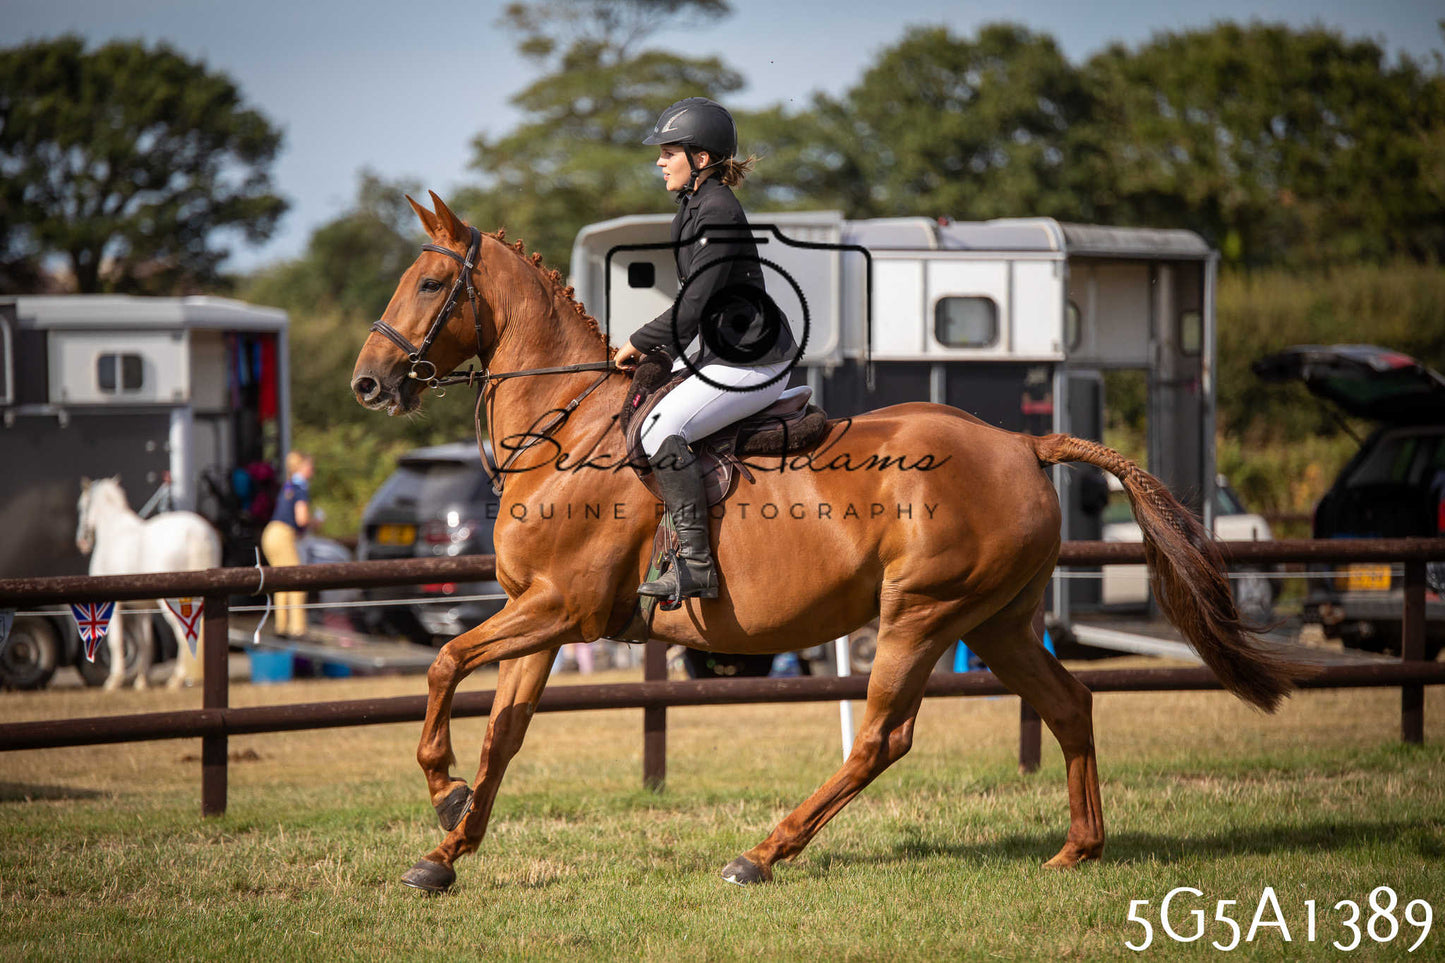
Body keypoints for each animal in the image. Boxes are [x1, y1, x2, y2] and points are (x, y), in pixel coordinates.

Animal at [75, 477, 222, 690]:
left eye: (81, 507)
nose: (82, 542)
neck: (113, 531)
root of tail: (196, 534)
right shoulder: (142, 607)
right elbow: (146, 641)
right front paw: (142, 681)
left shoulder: (113, 605)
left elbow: (116, 641)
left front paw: (114, 681)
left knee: (183, 633)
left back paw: (177, 679)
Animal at [350, 192, 1303, 892]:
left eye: (430, 285)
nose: (367, 382)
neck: (565, 428)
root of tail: (1025, 443)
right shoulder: (537, 617)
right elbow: (502, 732)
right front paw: (445, 850)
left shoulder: (561, 609)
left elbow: (443, 669)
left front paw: (442, 795)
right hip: (996, 620)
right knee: (1068, 704)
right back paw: (1078, 848)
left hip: (920, 612)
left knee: (882, 736)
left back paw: (762, 852)